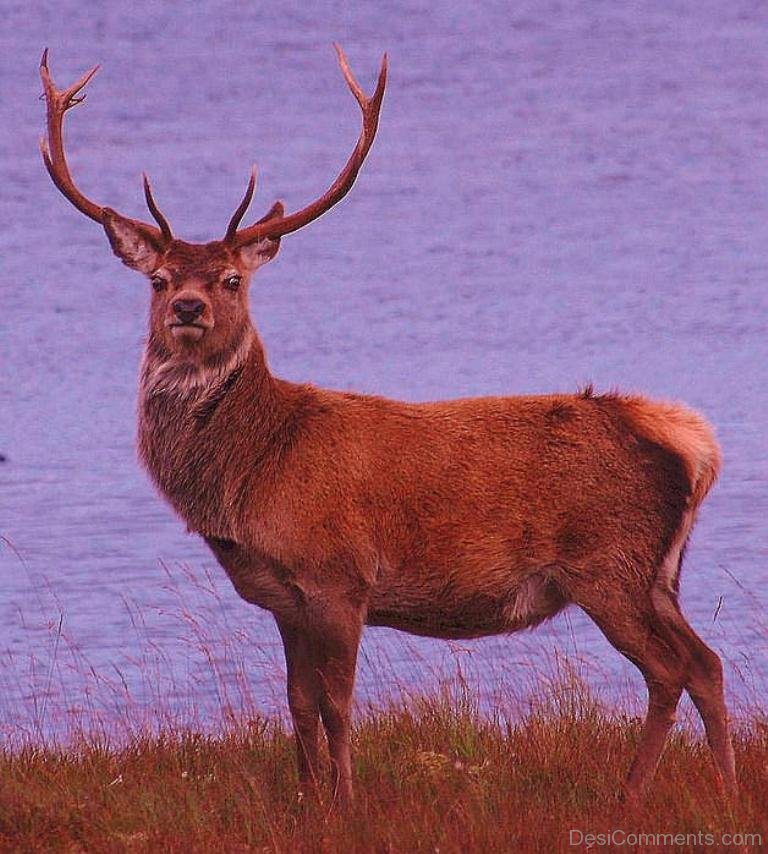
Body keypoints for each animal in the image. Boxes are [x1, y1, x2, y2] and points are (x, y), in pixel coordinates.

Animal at [42, 46, 736, 808]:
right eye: (159, 279)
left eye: (230, 280)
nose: (188, 307)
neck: (253, 471)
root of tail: (692, 444)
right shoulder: (285, 598)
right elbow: (297, 703)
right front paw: (308, 800)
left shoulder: (338, 575)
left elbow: (338, 703)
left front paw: (346, 801)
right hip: (659, 573)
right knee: (707, 661)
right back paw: (716, 784)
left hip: (609, 563)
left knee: (670, 670)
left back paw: (639, 793)